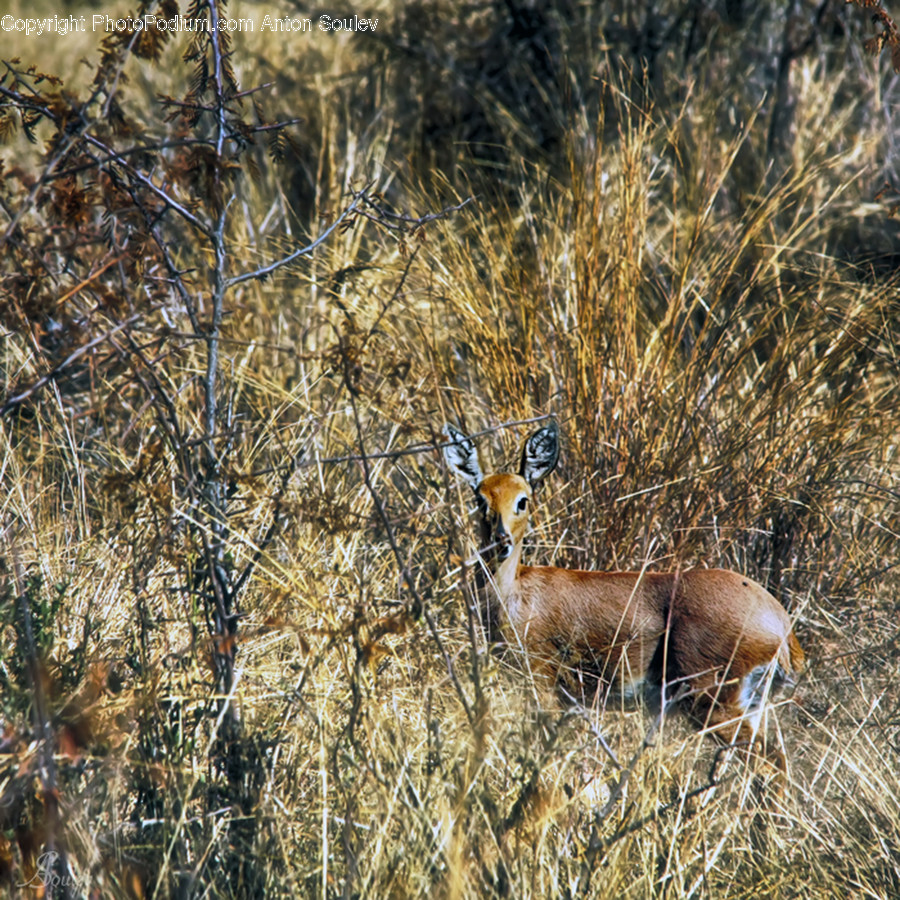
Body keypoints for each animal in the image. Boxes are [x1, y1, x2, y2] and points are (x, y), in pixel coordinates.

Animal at [442, 420, 804, 759]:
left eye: (523, 501)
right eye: (480, 499)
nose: (500, 542)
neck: (515, 595)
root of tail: (781, 624)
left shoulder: (542, 684)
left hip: (714, 702)